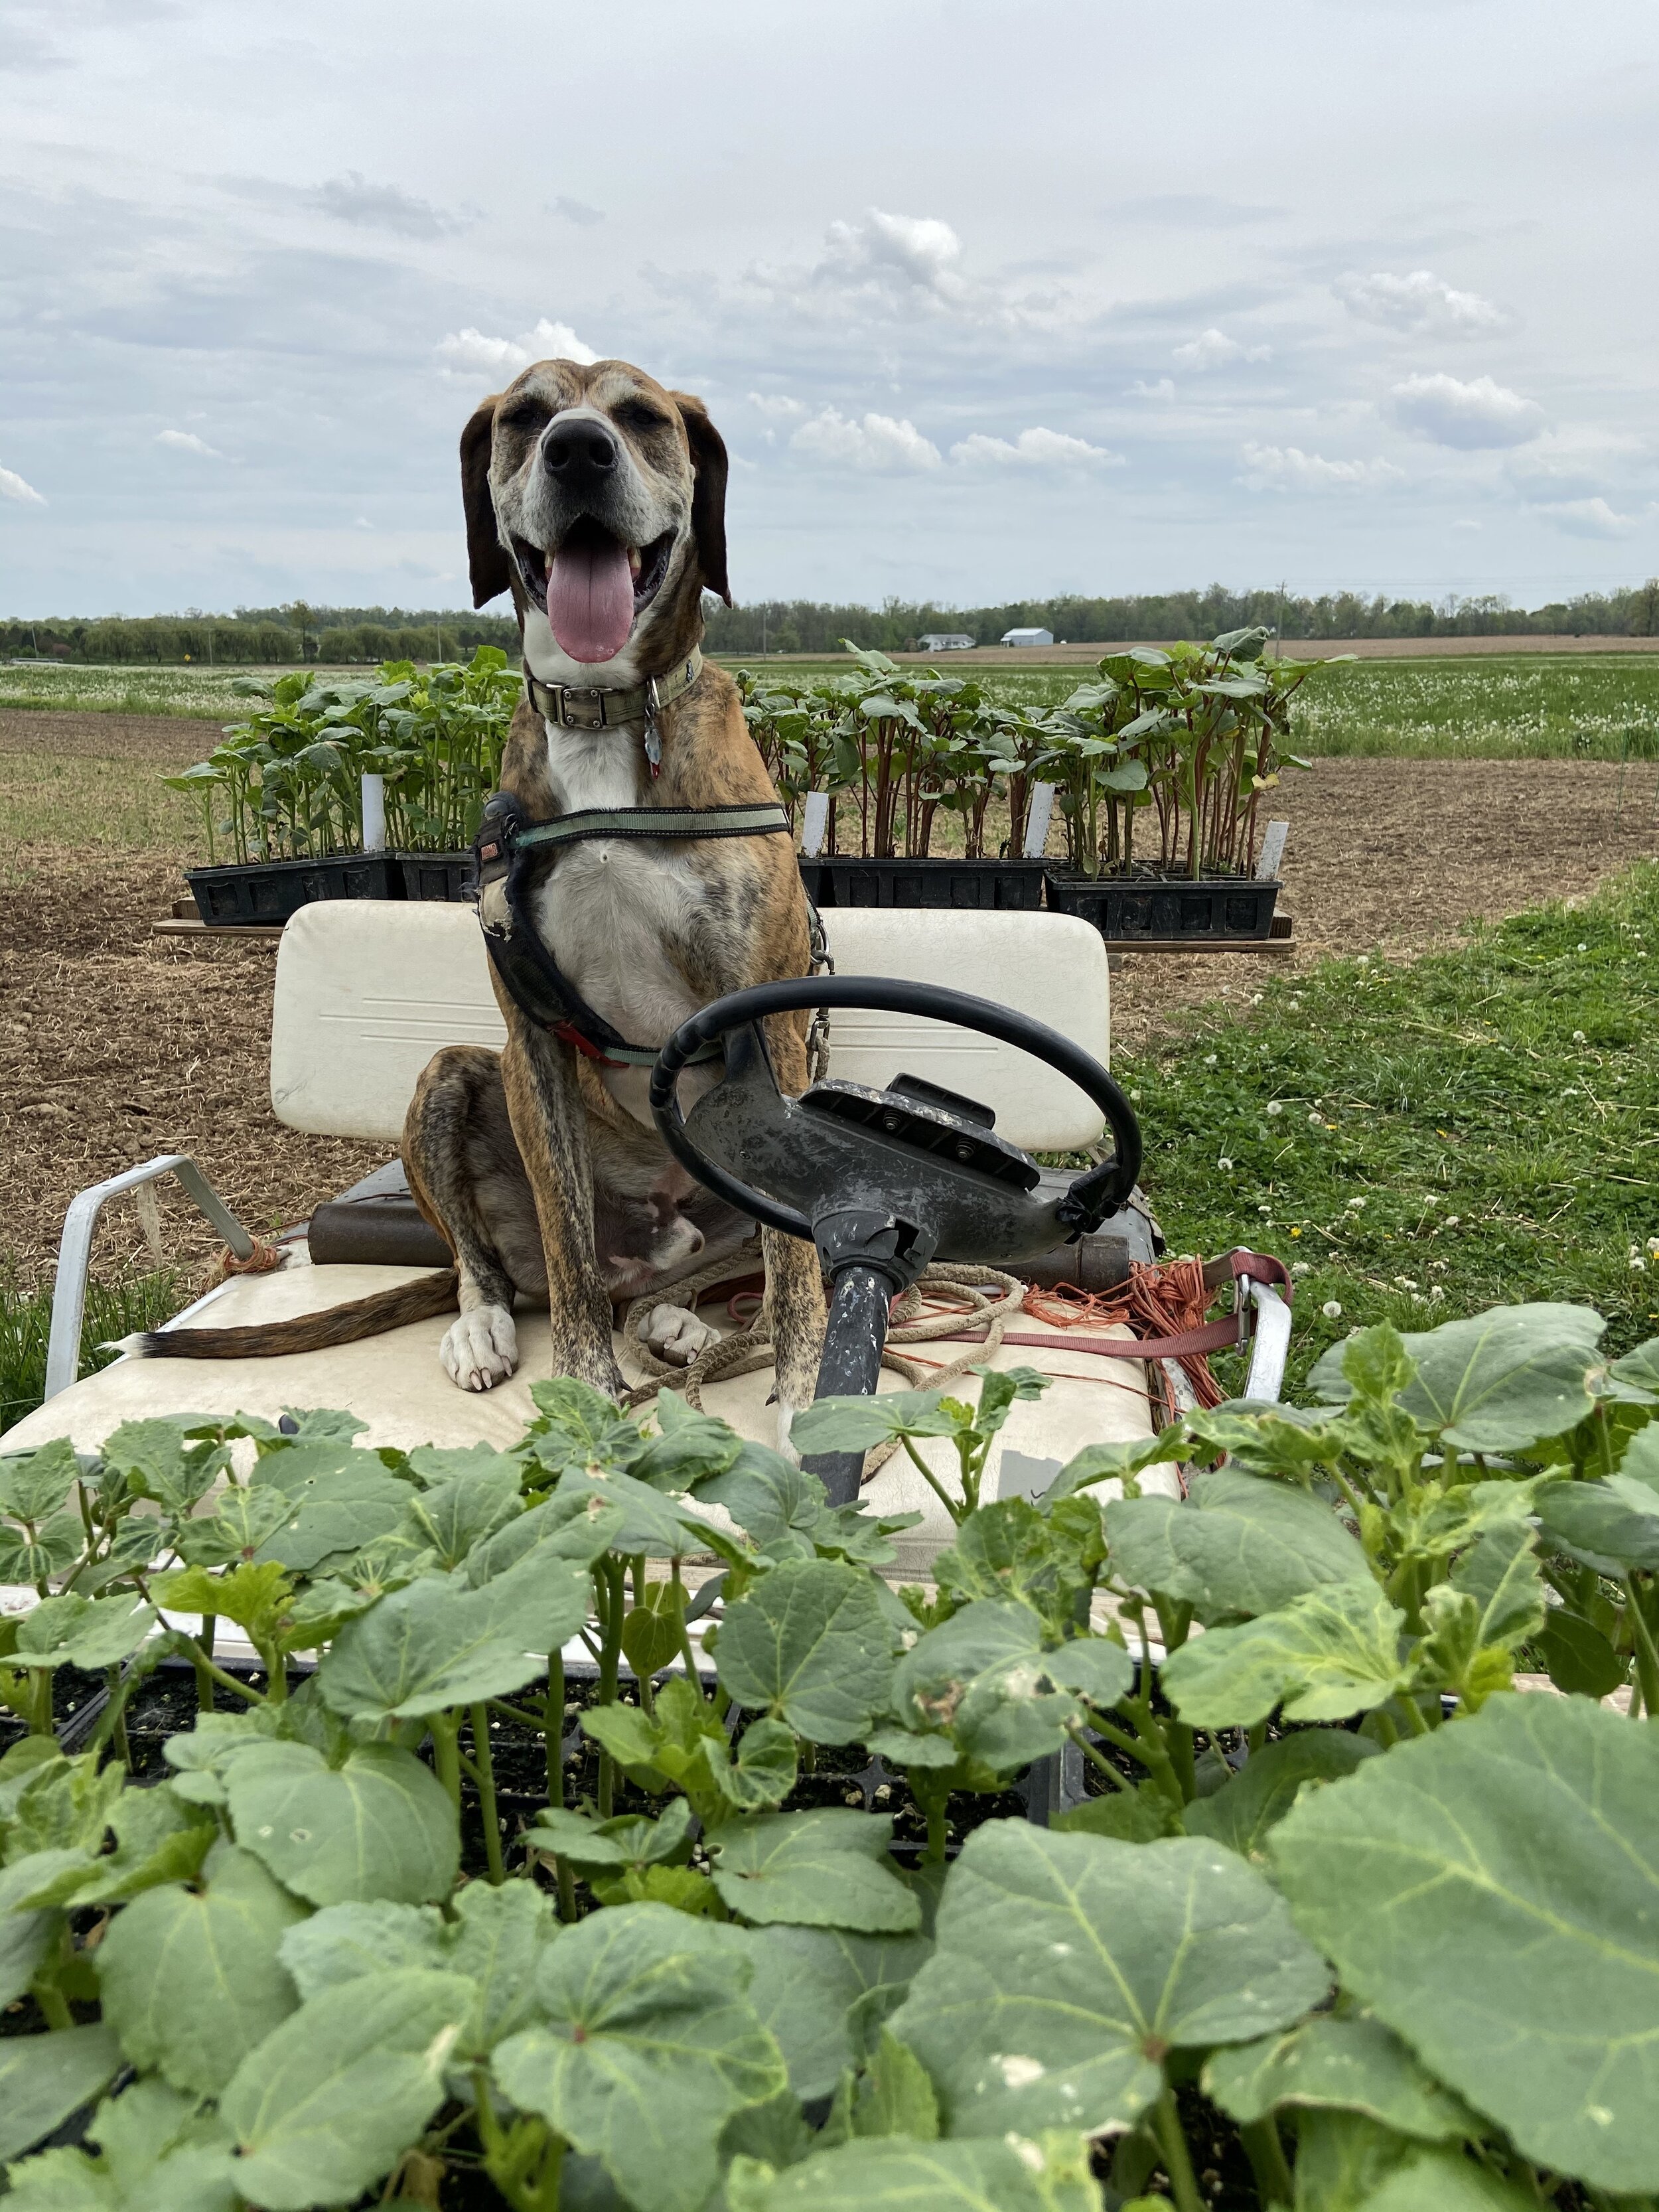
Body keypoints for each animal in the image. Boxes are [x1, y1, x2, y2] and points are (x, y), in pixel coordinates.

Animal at [148, 362, 831, 1433]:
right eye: (525, 415)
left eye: (643, 416)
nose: (579, 451)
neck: (603, 715)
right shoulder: (531, 1036)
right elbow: (566, 1239)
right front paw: (588, 1388)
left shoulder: (768, 1018)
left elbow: (796, 1260)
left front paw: (811, 1399)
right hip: (453, 1078)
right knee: (517, 1270)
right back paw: (493, 1325)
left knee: (710, 1267)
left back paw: (685, 1321)